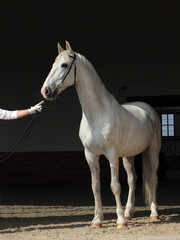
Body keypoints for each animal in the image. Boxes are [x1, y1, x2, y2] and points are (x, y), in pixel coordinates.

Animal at [41, 41, 162, 229]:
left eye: (64, 65)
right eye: (53, 65)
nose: (45, 91)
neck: (97, 115)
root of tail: (147, 109)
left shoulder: (111, 154)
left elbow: (115, 186)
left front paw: (119, 221)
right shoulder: (90, 155)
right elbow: (95, 186)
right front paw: (98, 220)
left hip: (152, 151)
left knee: (153, 178)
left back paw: (153, 214)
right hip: (128, 156)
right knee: (132, 179)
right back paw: (129, 212)